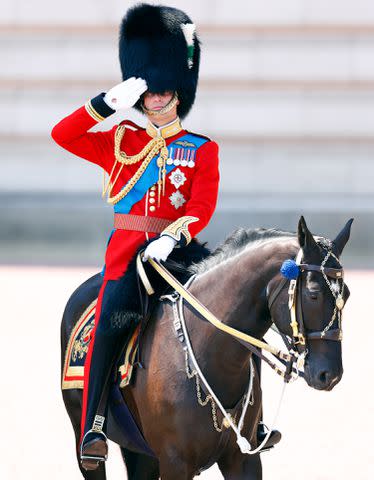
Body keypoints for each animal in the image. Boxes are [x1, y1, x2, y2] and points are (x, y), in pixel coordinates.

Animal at [60, 218, 350, 480]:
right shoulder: (175, 462)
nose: (330, 374)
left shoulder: (243, 460)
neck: (213, 353)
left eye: (345, 294)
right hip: (83, 435)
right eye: (313, 293)